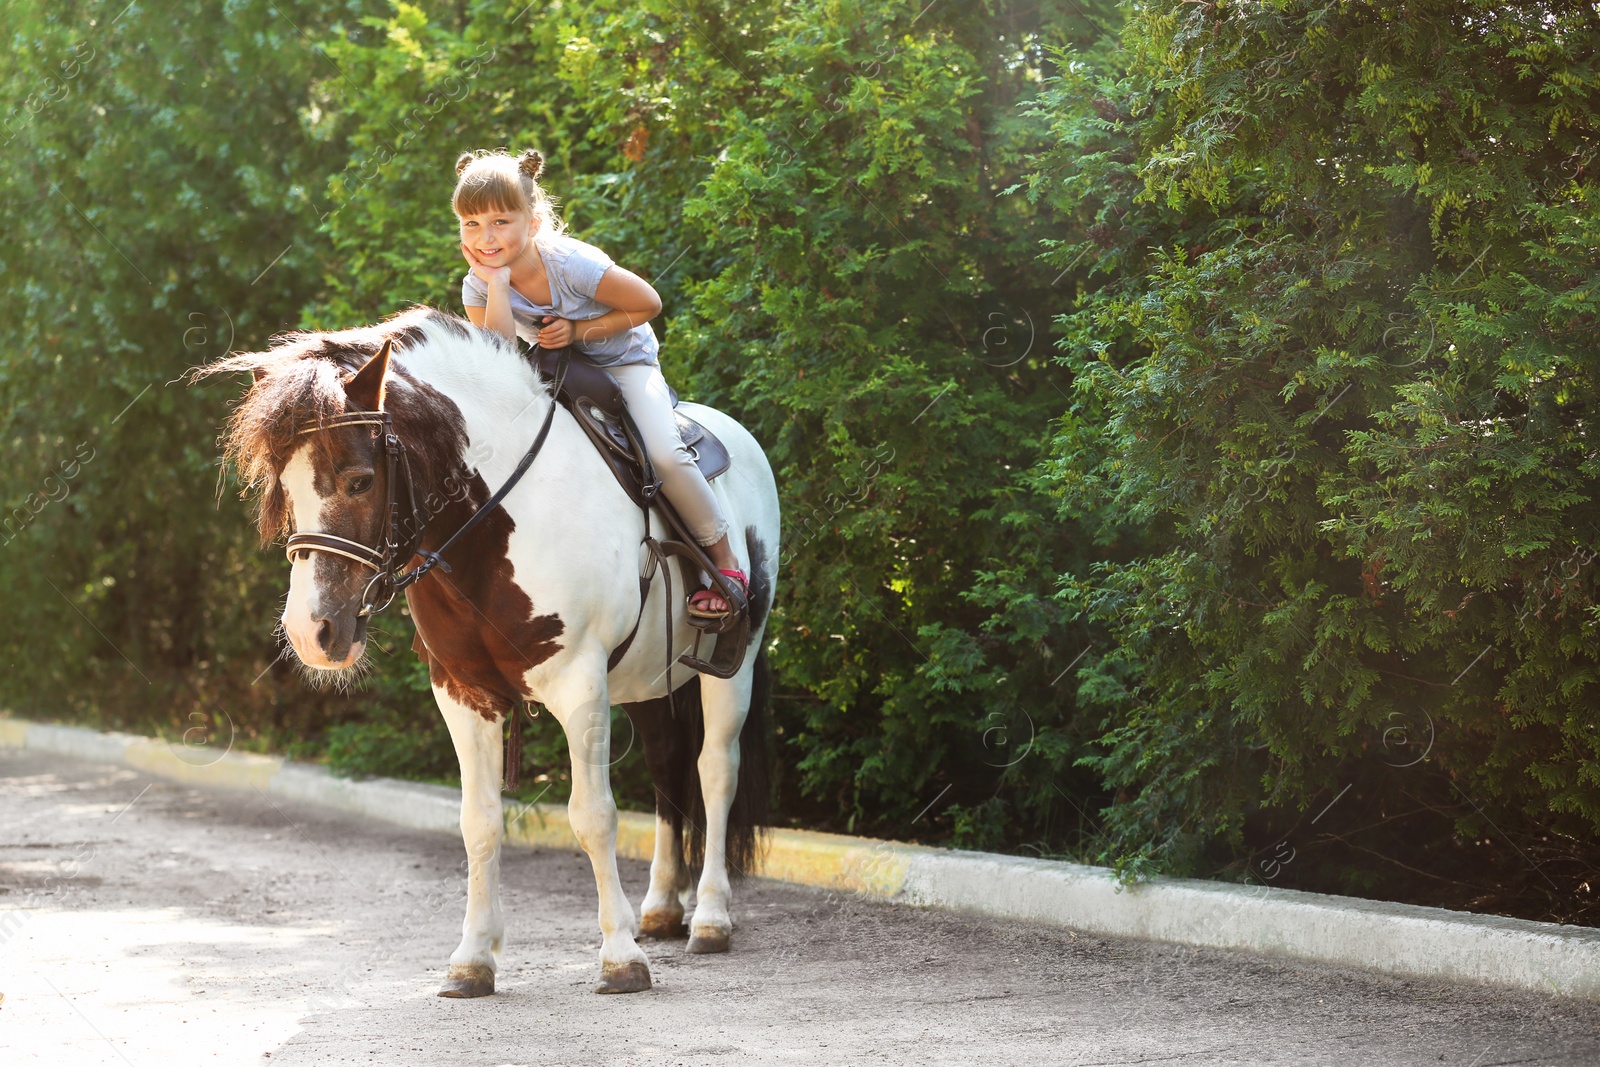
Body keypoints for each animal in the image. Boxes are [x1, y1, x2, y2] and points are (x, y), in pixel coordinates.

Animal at [193, 303, 780, 998]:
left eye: (360, 481)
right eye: (282, 486)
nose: (313, 632)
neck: (494, 524)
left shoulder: (581, 684)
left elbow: (594, 814)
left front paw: (619, 957)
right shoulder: (462, 691)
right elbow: (479, 822)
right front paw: (473, 958)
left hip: (733, 664)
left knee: (714, 769)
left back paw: (711, 916)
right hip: (649, 682)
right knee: (668, 769)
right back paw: (662, 908)